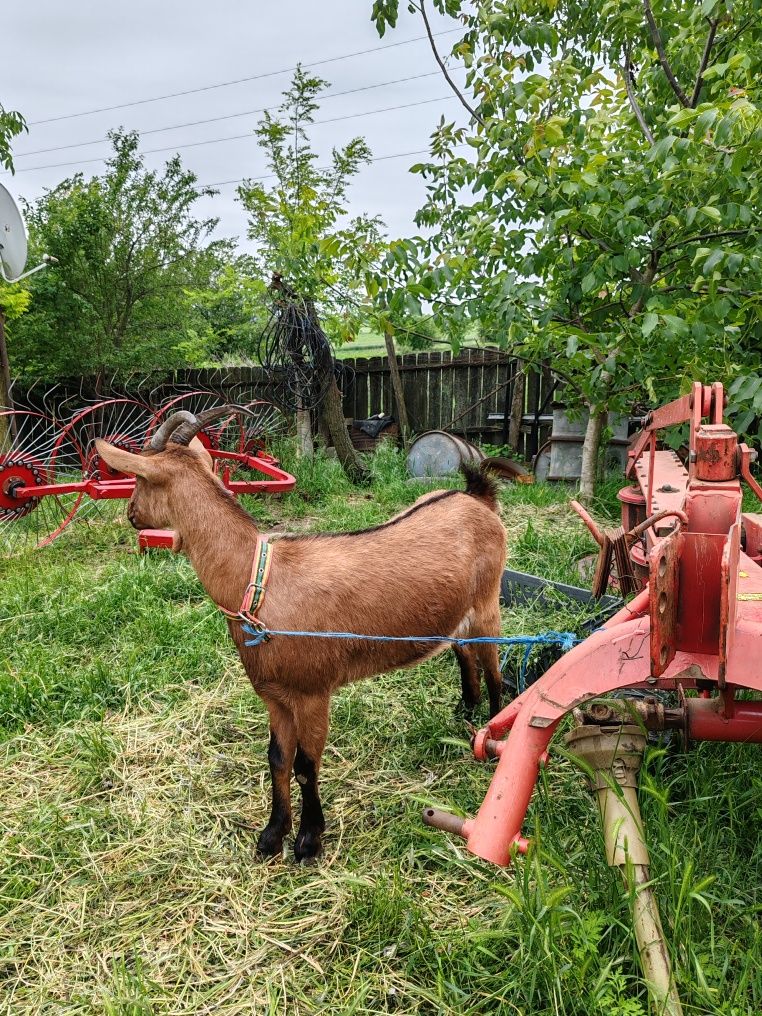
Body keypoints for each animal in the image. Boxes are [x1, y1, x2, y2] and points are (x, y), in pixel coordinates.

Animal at [98, 416, 510, 861]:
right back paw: (464, 712)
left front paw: (309, 840)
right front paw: (271, 836)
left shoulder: (313, 692)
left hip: (488, 603)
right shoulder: (274, 695)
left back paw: (491, 735)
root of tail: (475, 498)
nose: (131, 514)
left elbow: (305, 765)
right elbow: (277, 759)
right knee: (464, 652)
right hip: (457, 615)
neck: (259, 583)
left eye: (138, 479)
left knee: (494, 667)